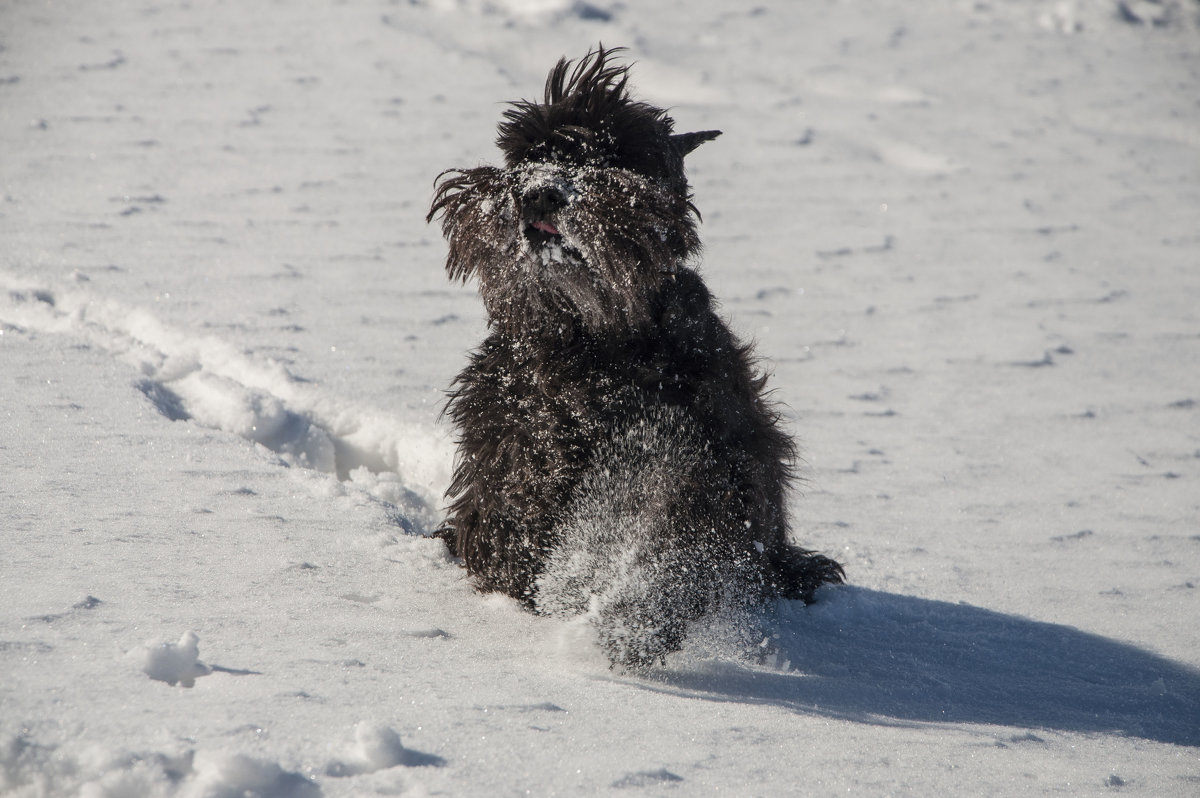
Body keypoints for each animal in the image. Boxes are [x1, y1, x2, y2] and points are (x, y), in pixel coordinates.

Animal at [429, 45, 844, 667]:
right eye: (527, 152)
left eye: (618, 155)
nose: (541, 191)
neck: (589, 340)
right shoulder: (509, 457)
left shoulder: (704, 457)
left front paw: (627, 617)